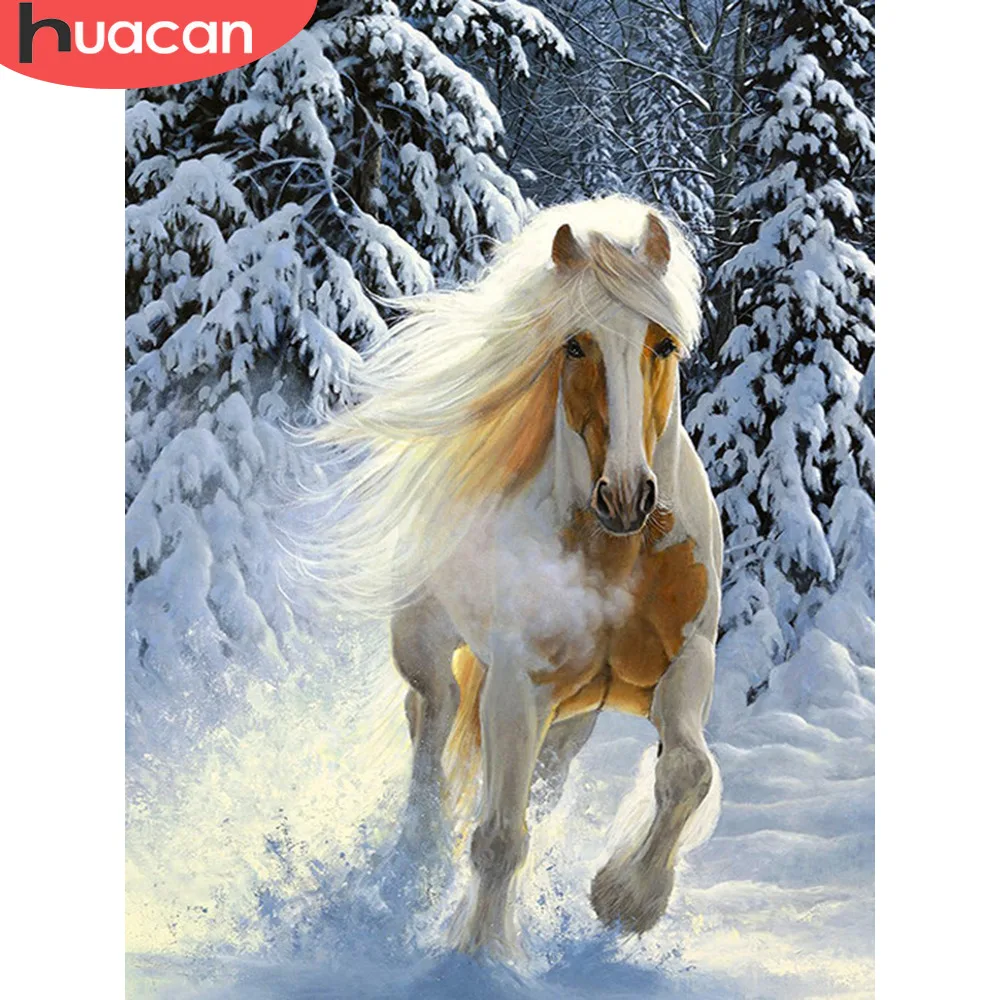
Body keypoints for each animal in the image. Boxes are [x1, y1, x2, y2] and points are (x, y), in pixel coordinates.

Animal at [310, 195, 723, 959]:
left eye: (663, 344)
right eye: (574, 345)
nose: (627, 497)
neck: (616, 556)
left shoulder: (687, 659)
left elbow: (687, 772)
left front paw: (626, 899)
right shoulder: (516, 678)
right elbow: (499, 838)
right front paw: (480, 955)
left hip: (571, 713)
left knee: (535, 775)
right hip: (429, 645)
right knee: (432, 719)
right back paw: (417, 860)